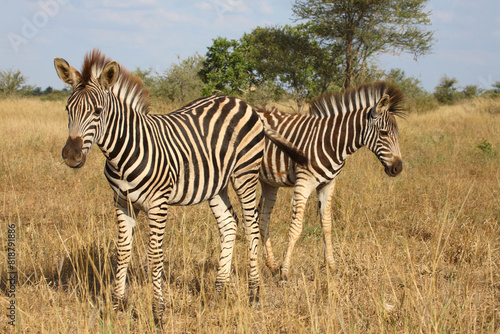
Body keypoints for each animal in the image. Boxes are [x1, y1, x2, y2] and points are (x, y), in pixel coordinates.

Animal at [52, 49, 306, 320]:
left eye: (98, 111)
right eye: (67, 109)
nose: (71, 155)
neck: (122, 152)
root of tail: (243, 103)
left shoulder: (158, 203)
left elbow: (155, 255)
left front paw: (158, 311)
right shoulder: (121, 202)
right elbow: (122, 251)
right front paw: (117, 305)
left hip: (244, 174)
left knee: (252, 226)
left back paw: (254, 294)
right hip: (216, 184)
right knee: (229, 225)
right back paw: (218, 291)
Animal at [256, 82, 404, 280]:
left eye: (396, 134)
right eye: (384, 133)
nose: (398, 168)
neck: (332, 142)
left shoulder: (328, 184)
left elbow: (327, 225)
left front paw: (332, 267)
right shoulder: (304, 183)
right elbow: (296, 228)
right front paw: (285, 271)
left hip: (269, 182)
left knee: (262, 218)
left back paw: (270, 265)